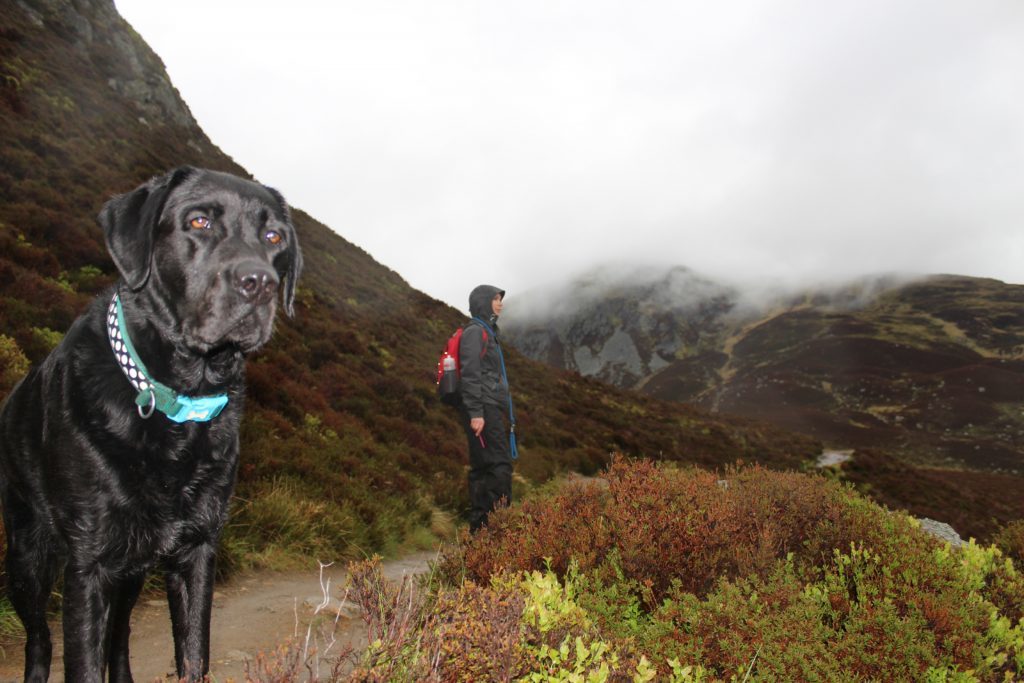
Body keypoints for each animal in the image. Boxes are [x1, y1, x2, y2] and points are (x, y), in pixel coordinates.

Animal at [0, 166, 301, 683]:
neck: (178, 396)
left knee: (119, 634)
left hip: (134, 568)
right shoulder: (89, 563)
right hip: (27, 554)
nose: (258, 282)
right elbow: (82, 661)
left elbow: (193, 654)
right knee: (40, 636)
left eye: (273, 236)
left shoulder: (196, 549)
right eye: (199, 222)